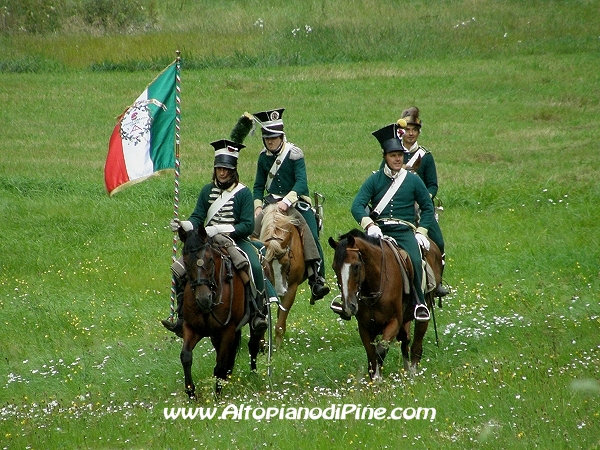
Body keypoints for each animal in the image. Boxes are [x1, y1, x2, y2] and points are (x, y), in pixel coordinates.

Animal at [176, 227, 264, 400]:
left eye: (210, 260)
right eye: (186, 261)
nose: (204, 299)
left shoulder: (227, 330)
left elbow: (220, 364)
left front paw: (217, 396)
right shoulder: (192, 328)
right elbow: (186, 356)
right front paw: (191, 392)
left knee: (253, 344)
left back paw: (253, 374)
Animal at [258, 204, 308, 348]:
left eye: (287, 263)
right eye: (266, 265)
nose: (279, 291)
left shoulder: (291, 289)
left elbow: (280, 324)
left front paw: (279, 347)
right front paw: (261, 345)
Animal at [326, 229, 442, 380]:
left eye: (356, 266)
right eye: (334, 267)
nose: (348, 307)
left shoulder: (394, 322)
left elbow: (380, 351)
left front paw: (378, 379)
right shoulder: (365, 326)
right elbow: (371, 354)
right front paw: (374, 379)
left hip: (424, 308)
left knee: (416, 344)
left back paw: (413, 372)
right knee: (405, 340)